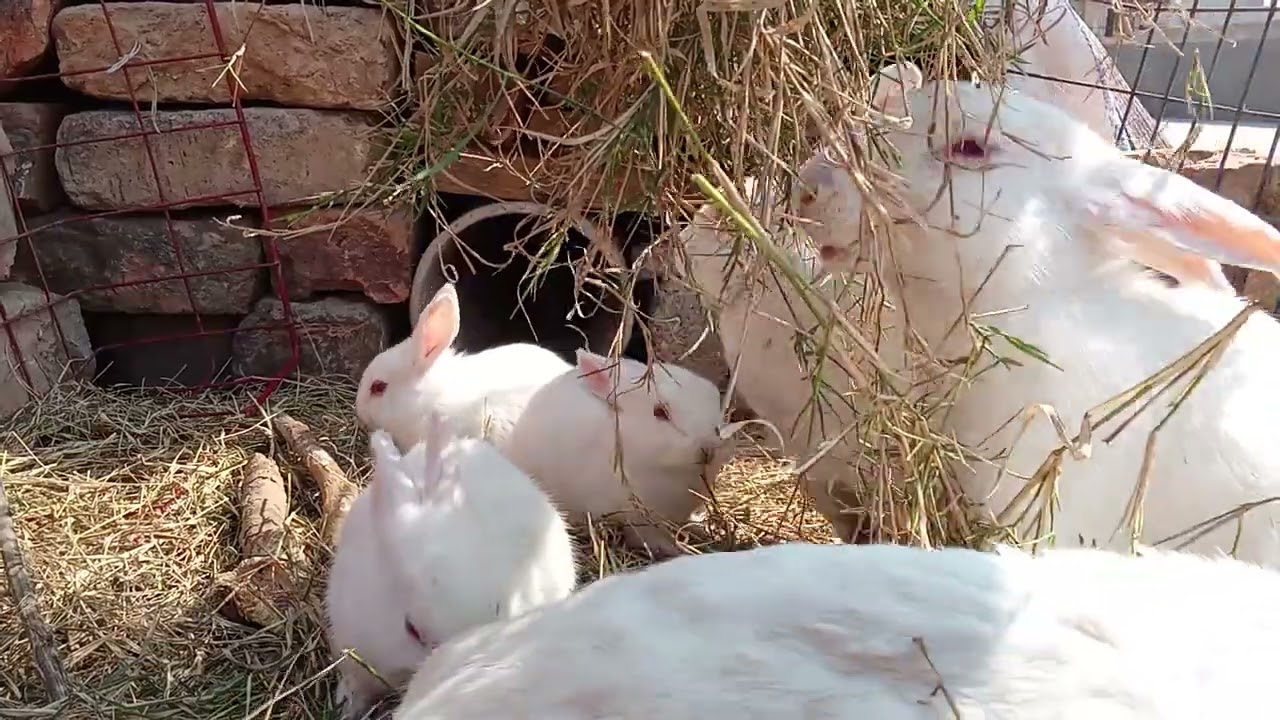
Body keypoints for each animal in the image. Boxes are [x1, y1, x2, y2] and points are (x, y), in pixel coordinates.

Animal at [503, 348, 732, 558]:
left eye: (712, 397)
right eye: (659, 413)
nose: (708, 449)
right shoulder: (638, 521)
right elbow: (651, 539)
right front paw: (676, 550)